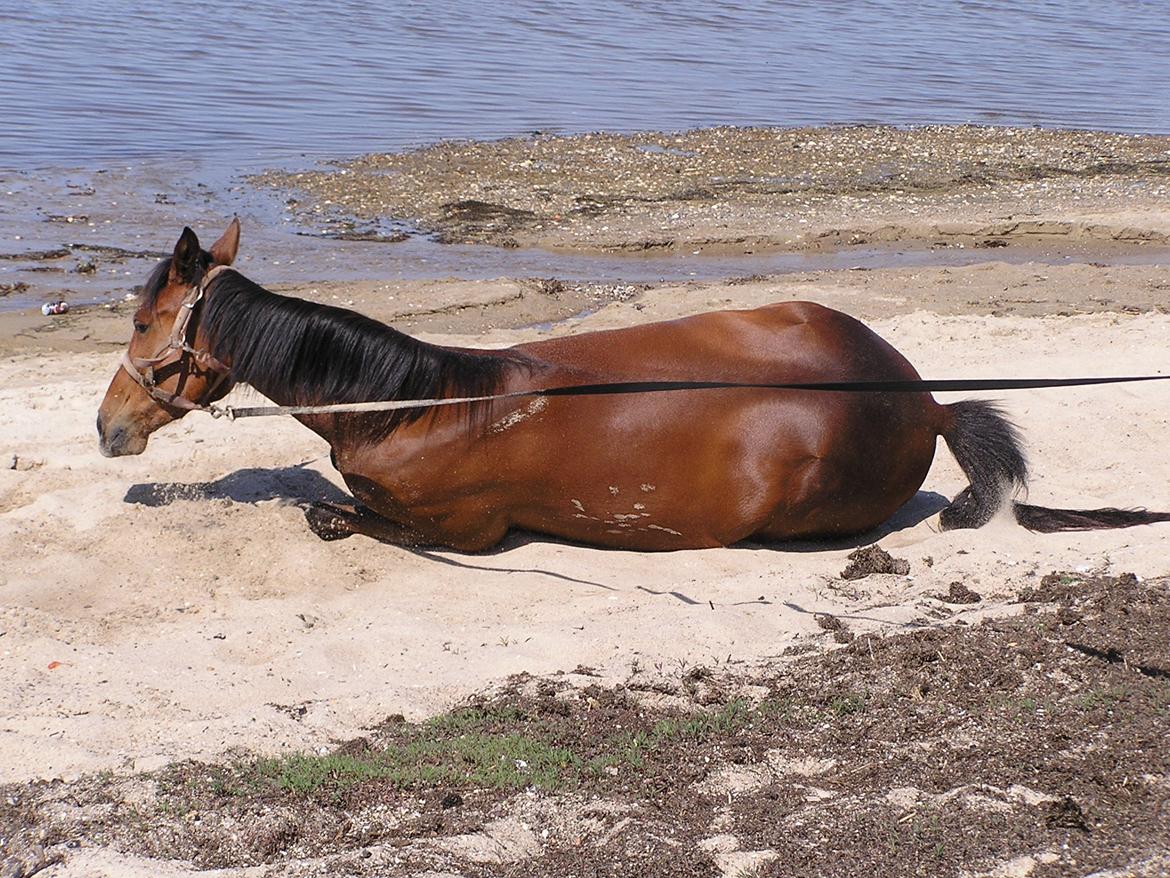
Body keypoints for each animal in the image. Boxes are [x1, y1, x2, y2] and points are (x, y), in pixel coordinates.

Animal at [93, 221, 1170, 550]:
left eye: (145, 323)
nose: (107, 428)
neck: (420, 403)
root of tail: (924, 400)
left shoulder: (465, 533)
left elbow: (332, 515)